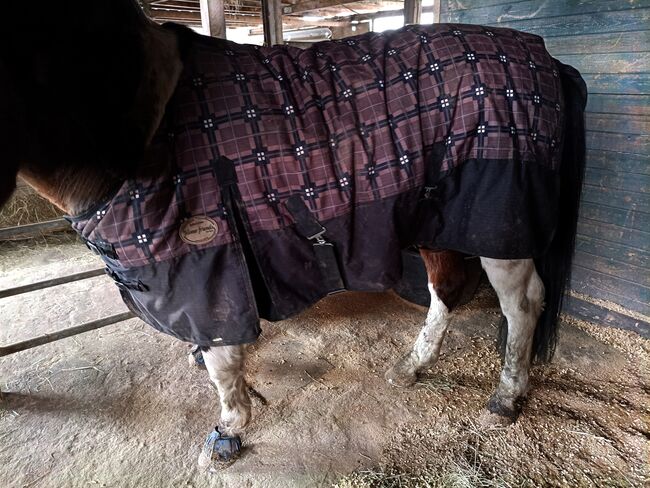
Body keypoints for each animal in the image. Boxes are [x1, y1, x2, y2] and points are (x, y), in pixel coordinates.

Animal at [0, 0, 587, 468]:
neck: (145, 129)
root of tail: (547, 58)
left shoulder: (211, 270)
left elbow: (224, 364)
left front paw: (228, 431)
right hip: (439, 218)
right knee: (447, 289)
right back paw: (411, 368)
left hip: (501, 225)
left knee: (522, 303)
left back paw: (506, 399)